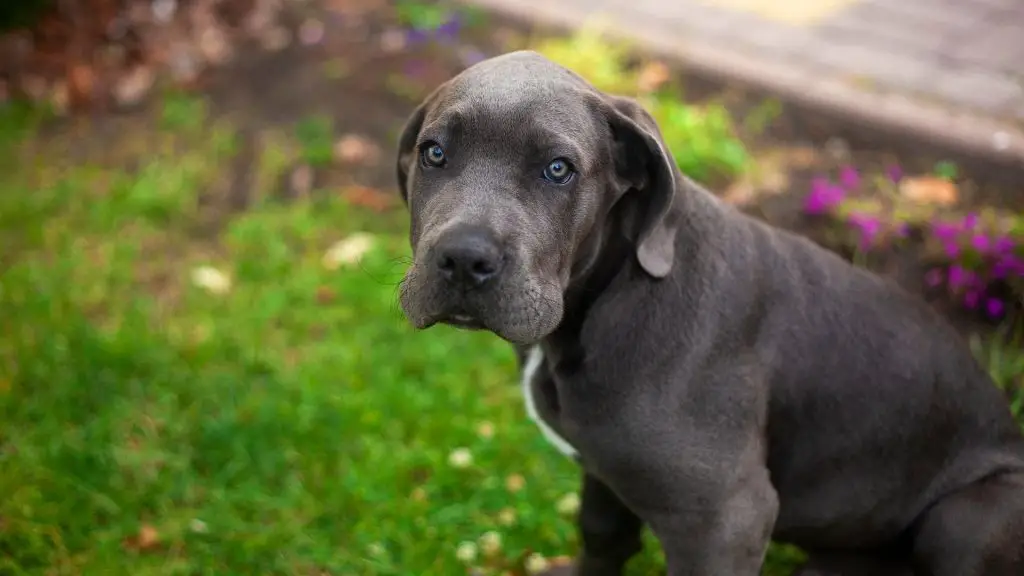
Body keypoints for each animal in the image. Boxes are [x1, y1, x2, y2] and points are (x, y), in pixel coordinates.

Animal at [393, 50, 1024, 573]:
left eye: (557, 168)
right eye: (434, 153)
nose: (464, 259)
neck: (601, 302)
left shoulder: (724, 518)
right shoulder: (602, 470)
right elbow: (602, 539)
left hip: (966, 518)